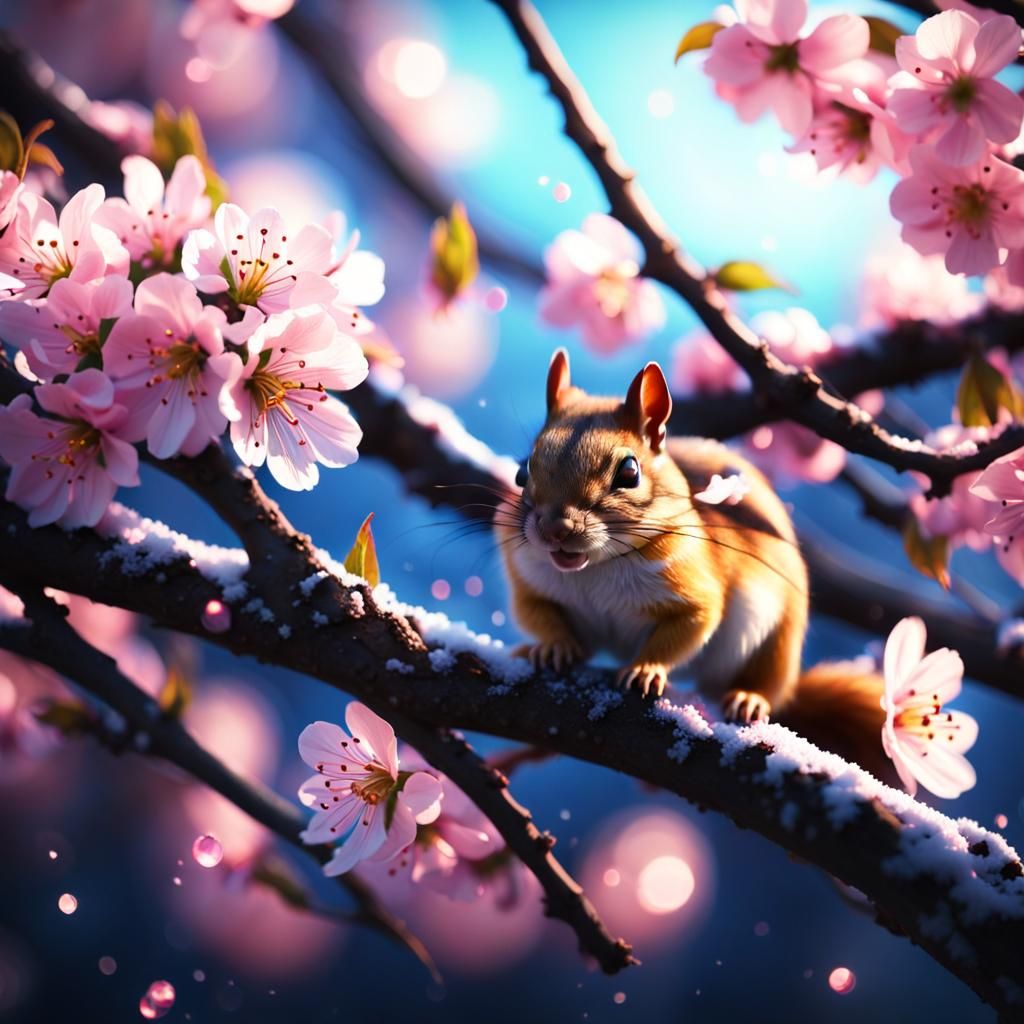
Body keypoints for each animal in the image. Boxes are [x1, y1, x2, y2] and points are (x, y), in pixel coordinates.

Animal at [496, 348, 891, 778]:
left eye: (629, 472)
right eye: (522, 470)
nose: (554, 529)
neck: (596, 568)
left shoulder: (694, 589)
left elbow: (691, 626)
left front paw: (645, 669)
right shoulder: (529, 581)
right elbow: (535, 613)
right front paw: (553, 646)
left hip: (778, 640)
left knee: (769, 682)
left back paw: (749, 697)